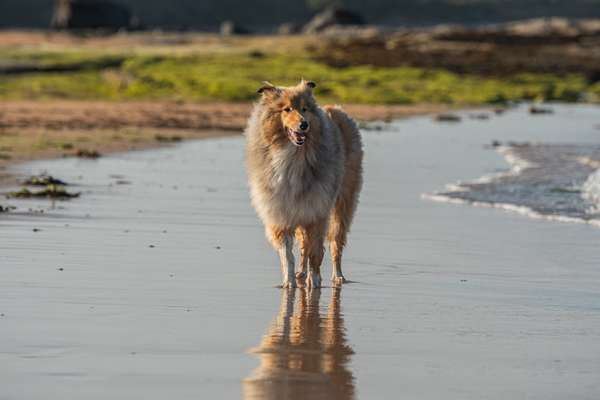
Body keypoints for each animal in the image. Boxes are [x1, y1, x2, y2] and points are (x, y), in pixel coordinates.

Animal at [246, 80, 364, 288]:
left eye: (304, 109)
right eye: (286, 109)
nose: (304, 125)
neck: (292, 155)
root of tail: (334, 107)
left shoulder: (316, 211)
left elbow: (316, 252)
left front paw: (314, 283)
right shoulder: (282, 215)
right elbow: (288, 255)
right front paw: (288, 283)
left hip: (343, 202)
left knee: (335, 243)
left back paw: (338, 277)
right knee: (303, 247)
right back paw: (301, 273)